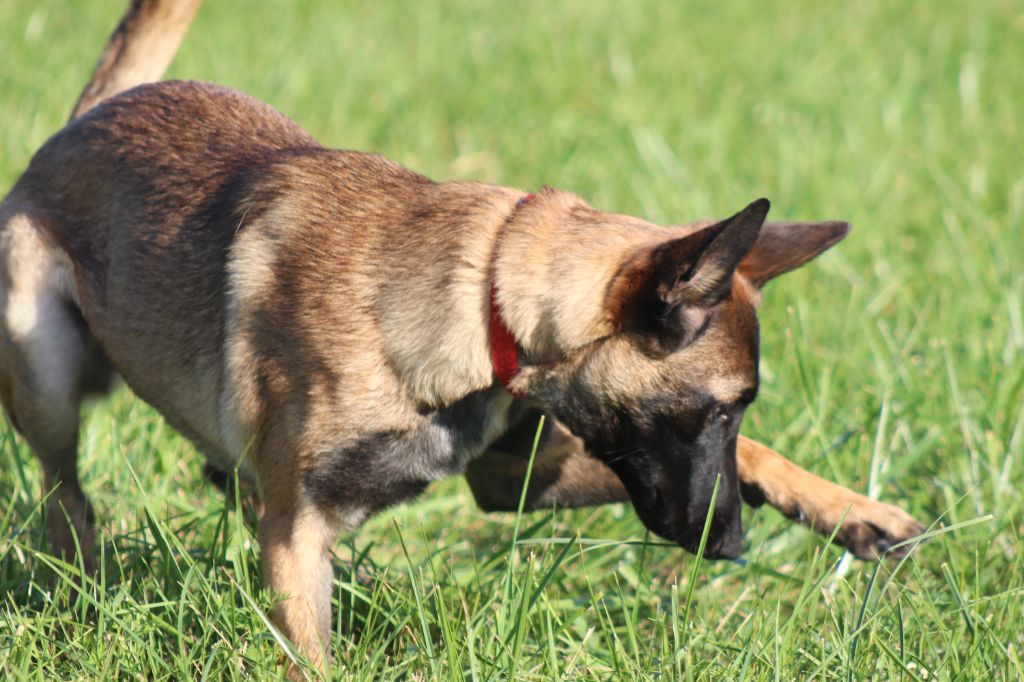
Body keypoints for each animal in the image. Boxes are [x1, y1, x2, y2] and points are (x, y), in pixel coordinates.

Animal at [0, 0, 925, 667]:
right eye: (715, 410)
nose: (729, 543)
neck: (485, 302)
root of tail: (81, 122)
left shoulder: (514, 480)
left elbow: (764, 463)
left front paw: (855, 512)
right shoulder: (298, 532)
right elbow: (310, 649)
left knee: (198, 481)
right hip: (43, 367)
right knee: (65, 496)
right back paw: (82, 589)